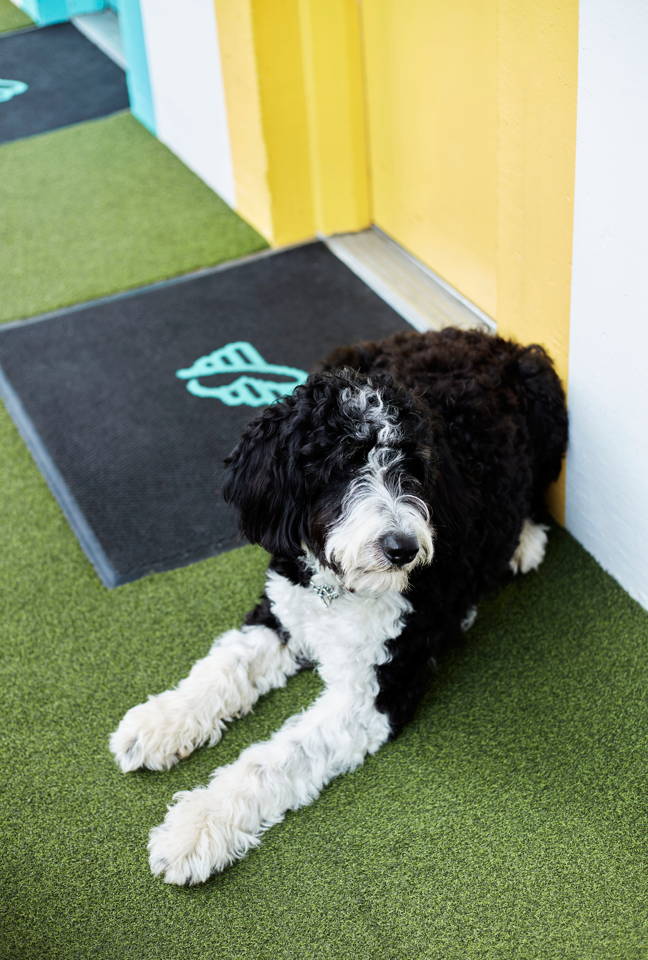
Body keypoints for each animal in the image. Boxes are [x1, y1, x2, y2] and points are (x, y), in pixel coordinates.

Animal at [110, 328, 568, 884]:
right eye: (344, 464)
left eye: (414, 468)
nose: (403, 547)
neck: (338, 589)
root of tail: (486, 338)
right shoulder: (282, 610)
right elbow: (224, 666)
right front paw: (161, 723)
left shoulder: (378, 689)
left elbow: (277, 757)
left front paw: (195, 826)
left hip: (547, 399)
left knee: (538, 492)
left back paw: (524, 541)